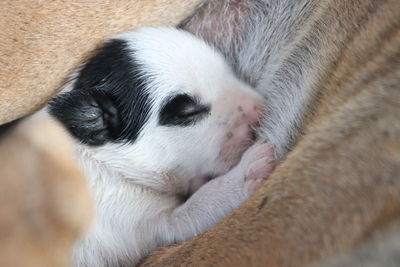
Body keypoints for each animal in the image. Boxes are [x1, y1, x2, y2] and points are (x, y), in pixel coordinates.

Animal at [47, 27, 276, 267]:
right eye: (188, 113)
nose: (260, 109)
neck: (106, 161)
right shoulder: (149, 222)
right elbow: (201, 203)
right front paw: (247, 172)